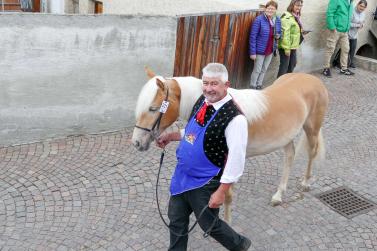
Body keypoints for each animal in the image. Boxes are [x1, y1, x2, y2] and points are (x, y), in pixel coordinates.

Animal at [134, 66, 328, 222]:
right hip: (286, 137)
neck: (213, 107)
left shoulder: (229, 163)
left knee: (312, 152)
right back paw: (278, 196)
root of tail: (313, 80)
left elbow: (226, 195)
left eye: (152, 108)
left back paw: (305, 183)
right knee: (290, 156)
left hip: (311, 129)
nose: (136, 142)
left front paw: (225, 222)